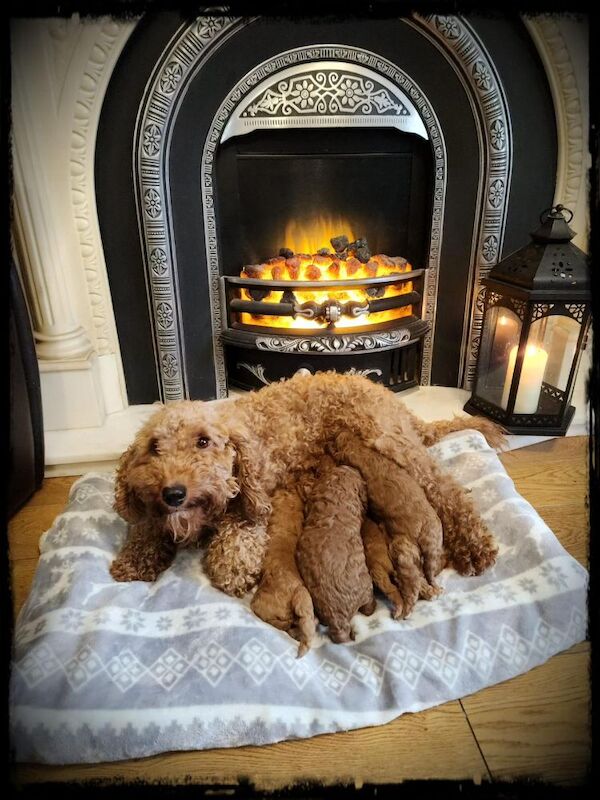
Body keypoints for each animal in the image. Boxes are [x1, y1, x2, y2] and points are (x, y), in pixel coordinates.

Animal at [110, 372, 504, 592]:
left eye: (203, 441)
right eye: (154, 447)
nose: (174, 493)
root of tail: (384, 391)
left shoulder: (252, 503)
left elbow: (237, 541)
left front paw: (233, 566)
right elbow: (146, 528)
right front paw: (136, 558)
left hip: (391, 442)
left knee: (446, 490)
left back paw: (474, 545)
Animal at [328, 432, 446, 620]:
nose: (333, 437)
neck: (359, 447)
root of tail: (427, 538)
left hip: (403, 549)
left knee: (411, 582)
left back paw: (406, 610)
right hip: (426, 550)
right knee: (426, 573)